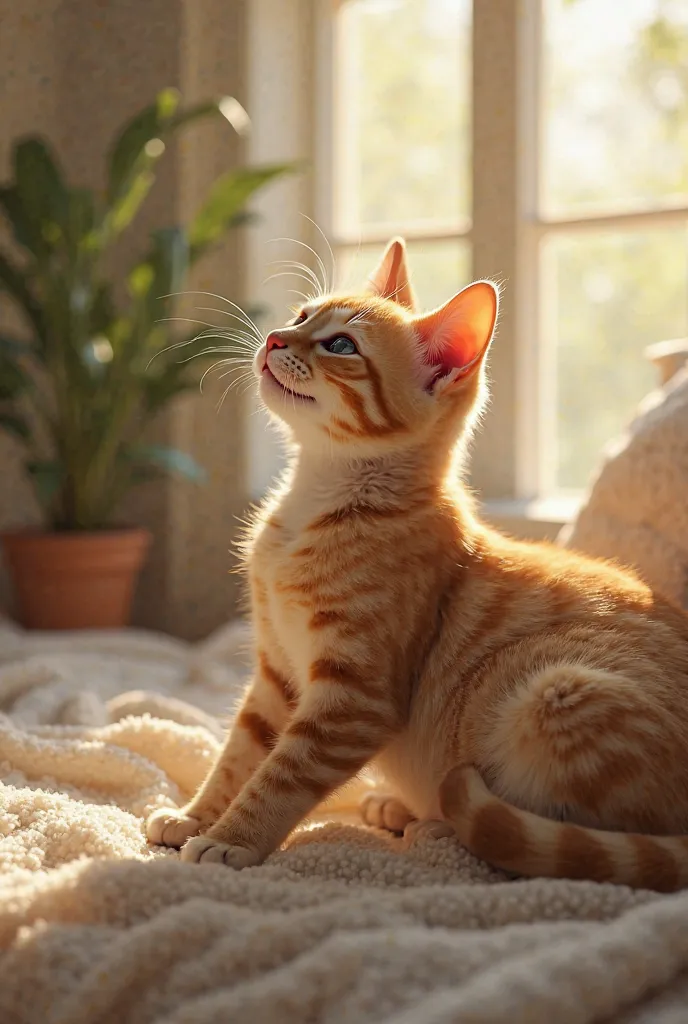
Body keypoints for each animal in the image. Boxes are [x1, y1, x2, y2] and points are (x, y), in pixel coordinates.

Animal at [147, 237, 688, 888]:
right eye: (302, 316)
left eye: (341, 345)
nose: (276, 337)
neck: (315, 504)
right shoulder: (278, 672)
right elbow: (240, 753)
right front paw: (194, 816)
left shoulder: (354, 699)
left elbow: (281, 772)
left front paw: (232, 840)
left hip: (555, 692)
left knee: (571, 847)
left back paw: (437, 824)